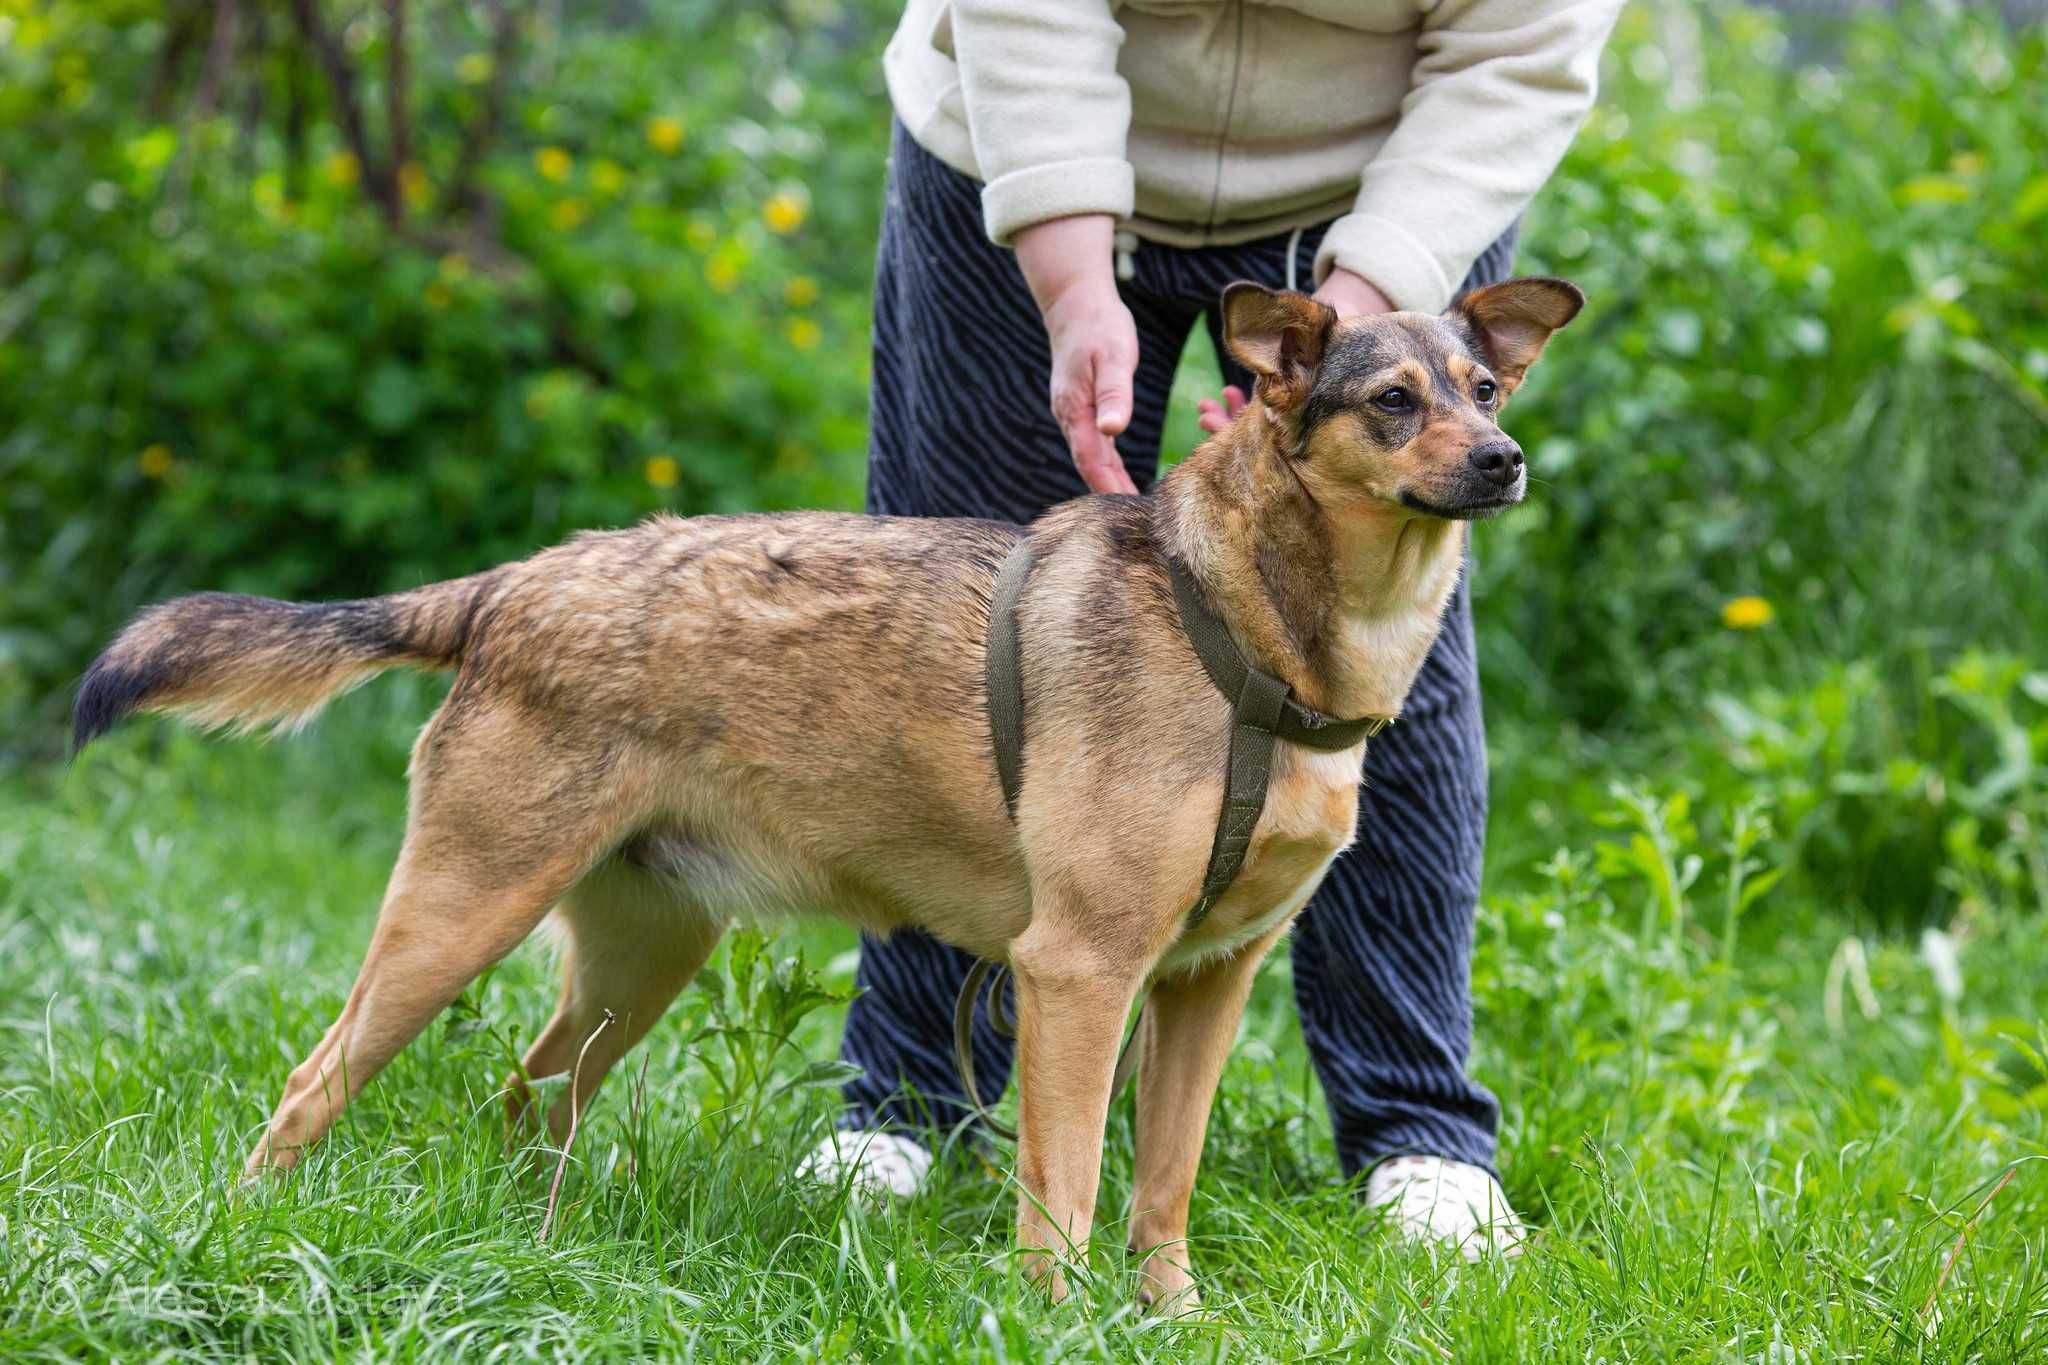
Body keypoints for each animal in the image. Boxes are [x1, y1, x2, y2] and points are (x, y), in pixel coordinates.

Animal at [72, 274, 1581, 1301]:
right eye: (1392, 401)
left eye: (1486, 390)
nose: (1503, 461)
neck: (1254, 635)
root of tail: (508, 586)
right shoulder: (1078, 973)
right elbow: (1065, 1187)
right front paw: (1058, 1319)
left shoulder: (1208, 983)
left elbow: (1162, 1189)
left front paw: (1170, 1316)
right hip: (458, 914)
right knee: (313, 1082)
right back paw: (247, 1233)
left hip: (635, 957)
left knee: (527, 1095)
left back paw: (523, 1241)